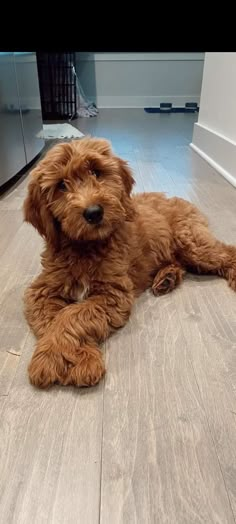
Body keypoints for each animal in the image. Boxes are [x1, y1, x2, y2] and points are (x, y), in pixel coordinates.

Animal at [23, 137, 236, 386]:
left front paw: (49, 358)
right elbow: (53, 318)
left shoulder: (113, 294)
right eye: (61, 186)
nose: (94, 212)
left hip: (192, 242)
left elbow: (72, 315)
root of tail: (180, 198)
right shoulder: (43, 290)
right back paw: (167, 278)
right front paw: (81, 358)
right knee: (180, 263)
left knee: (227, 252)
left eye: (96, 172)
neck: (86, 247)